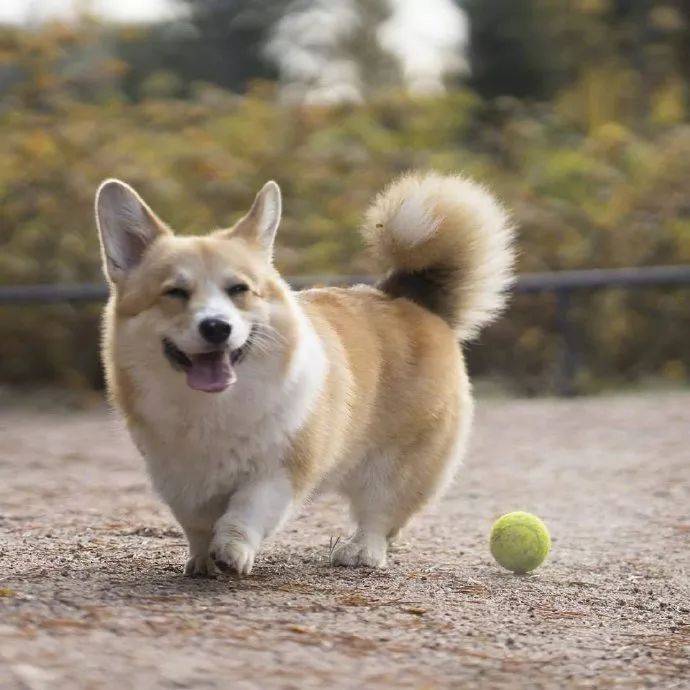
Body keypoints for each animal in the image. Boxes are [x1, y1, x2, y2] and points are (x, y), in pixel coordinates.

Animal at [97, 172, 512, 576]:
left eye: (239, 289)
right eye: (175, 293)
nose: (216, 327)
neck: (213, 408)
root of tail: (410, 298)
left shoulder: (280, 469)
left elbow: (246, 513)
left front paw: (230, 552)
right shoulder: (179, 478)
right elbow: (196, 523)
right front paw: (202, 559)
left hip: (396, 463)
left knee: (380, 513)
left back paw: (362, 551)